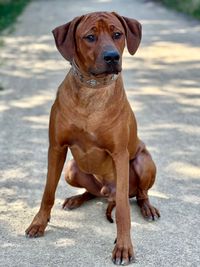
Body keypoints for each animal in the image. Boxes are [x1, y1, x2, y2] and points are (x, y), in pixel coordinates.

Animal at [25, 12, 160, 266]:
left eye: (117, 34)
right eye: (89, 37)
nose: (112, 57)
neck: (92, 89)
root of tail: (108, 193)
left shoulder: (119, 154)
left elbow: (124, 211)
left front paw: (123, 247)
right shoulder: (56, 148)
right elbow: (47, 192)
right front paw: (39, 223)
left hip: (144, 162)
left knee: (139, 194)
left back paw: (147, 208)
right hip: (71, 169)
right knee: (93, 192)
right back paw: (76, 199)